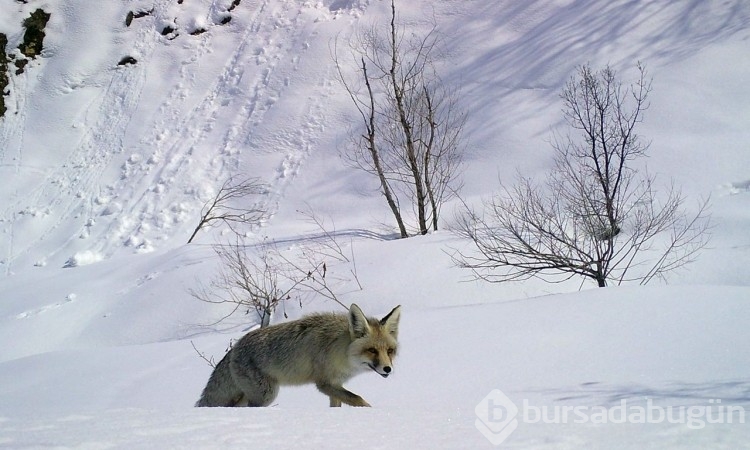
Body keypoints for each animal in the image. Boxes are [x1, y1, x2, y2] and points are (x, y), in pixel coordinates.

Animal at [197, 302, 402, 408]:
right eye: (372, 350)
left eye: (389, 351)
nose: (388, 369)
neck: (340, 350)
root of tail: (234, 347)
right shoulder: (324, 383)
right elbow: (359, 399)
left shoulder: (335, 386)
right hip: (265, 395)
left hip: (246, 397)